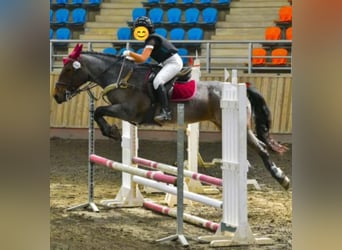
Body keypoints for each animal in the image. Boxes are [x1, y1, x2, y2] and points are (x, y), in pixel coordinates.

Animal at [52, 44, 290, 189]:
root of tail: (241, 87)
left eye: (69, 70)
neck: (122, 77)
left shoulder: (128, 111)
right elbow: (98, 112)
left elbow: (99, 111)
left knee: (261, 148)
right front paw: (113, 132)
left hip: (235, 126)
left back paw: (281, 178)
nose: (56, 96)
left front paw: (112, 132)